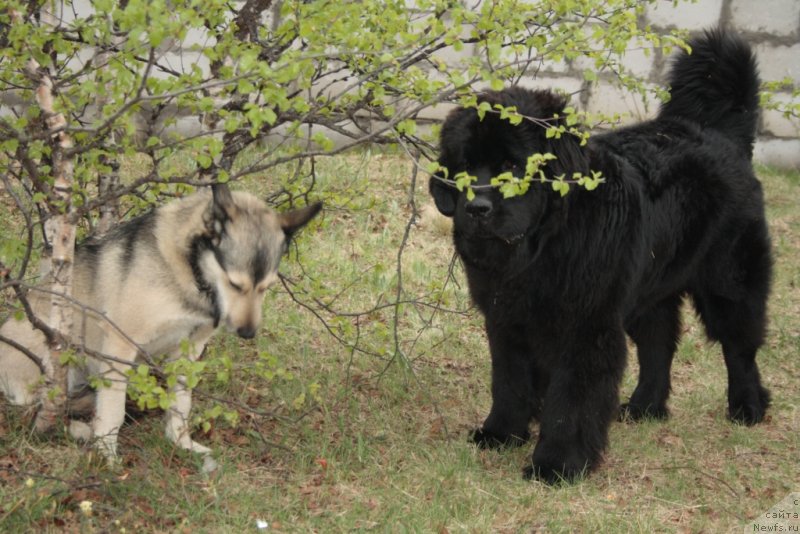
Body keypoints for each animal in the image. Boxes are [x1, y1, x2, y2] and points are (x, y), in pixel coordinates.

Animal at [0, 186, 318, 472]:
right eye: (235, 284)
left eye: (267, 287)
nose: (248, 333)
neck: (191, 273)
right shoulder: (119, 347)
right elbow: (113, 413)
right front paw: (107, 457)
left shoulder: (189, 352)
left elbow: (181, 405)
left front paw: (181, 443)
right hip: (58, 358)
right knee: (36, 408)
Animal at [428, 28, 772, 486]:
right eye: (464, 167)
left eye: (514, 167)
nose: (477, 208)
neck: (541, 249)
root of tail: (719, 134)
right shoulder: (507, 321)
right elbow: (509, 382)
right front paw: (500, 433)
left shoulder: (586, 327)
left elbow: (571, 401)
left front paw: (556, 464)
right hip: (648, 289)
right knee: (659, 343)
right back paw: (646, 408)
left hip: (729, 281)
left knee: (739, 347)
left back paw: (747, 407)